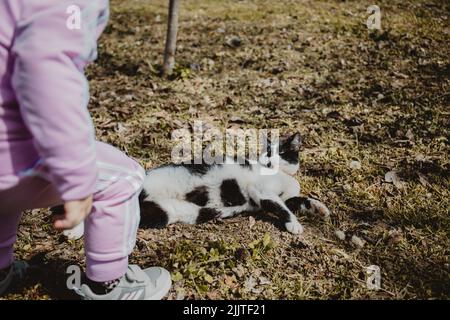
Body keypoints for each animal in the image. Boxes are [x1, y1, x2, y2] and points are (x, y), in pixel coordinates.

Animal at [139, 132, 328, 235]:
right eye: (267, 152)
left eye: (281, 153)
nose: (269, 160)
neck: (283, 176)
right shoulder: (260, 191)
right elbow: (281, 207)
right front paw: (294, 224)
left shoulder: (286, 197)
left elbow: (297, 201)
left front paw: (320, 208)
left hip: (166, 212)